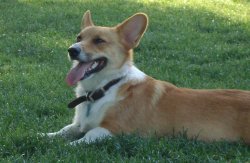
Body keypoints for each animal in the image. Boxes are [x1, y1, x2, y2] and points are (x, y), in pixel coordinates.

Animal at [45, 10, 250, 145]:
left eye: (99, 41)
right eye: (78, 37)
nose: (71, 50)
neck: (105, 87)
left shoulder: (113, 129)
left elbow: (85, 138)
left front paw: (65, 147)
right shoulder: (78, 125)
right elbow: (63, 131)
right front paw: (43, 136)